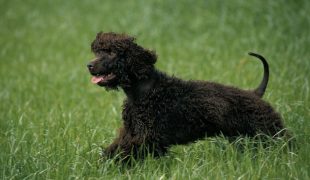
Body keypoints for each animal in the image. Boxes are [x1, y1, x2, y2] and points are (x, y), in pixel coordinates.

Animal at [86, 31, 288, 160]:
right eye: (98, 51)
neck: (143, 91)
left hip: (269, 129)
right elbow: (114, 149)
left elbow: (124, 152)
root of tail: (255, 93)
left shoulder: (147, 137)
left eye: (112, 52)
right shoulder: (131, 132)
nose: (89, 65)